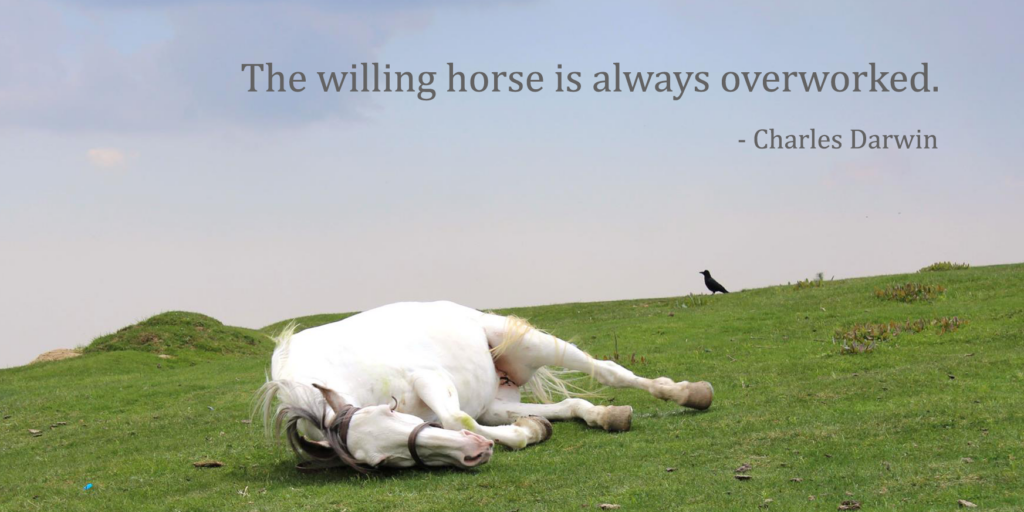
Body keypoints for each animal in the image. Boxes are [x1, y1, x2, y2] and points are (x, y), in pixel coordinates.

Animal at [257, 301, 713, 471]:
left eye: (392, 409)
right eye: (384, 462)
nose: (472, 454)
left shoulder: (429, 377)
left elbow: (452, 417)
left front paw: (514, 436)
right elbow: (468, 422)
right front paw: (527, 432)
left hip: (531, 343)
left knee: (609, 372)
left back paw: (687, 393)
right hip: (497, 400)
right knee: (571, 405)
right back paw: (605, 415)